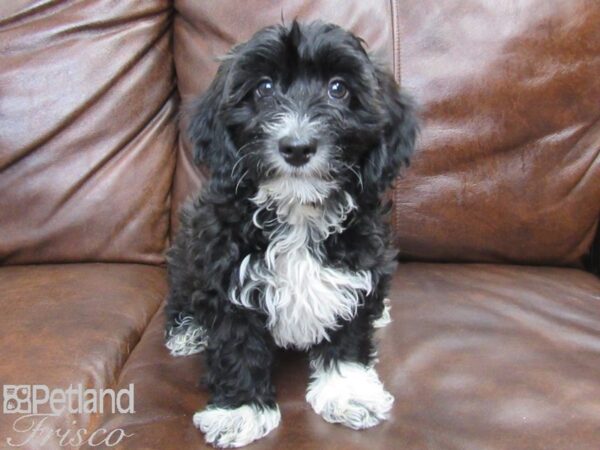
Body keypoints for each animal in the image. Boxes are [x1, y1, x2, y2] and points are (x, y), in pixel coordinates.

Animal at [164, 20, 418, 446]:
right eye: (264, 88)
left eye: (338, 88)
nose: (297, 147)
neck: (298, 212)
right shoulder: (224, 270)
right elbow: (236, 344)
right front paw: (241, 409)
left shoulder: (359, 266)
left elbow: (349, 335)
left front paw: (348, 391)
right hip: (187, 249)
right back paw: (187, 330)